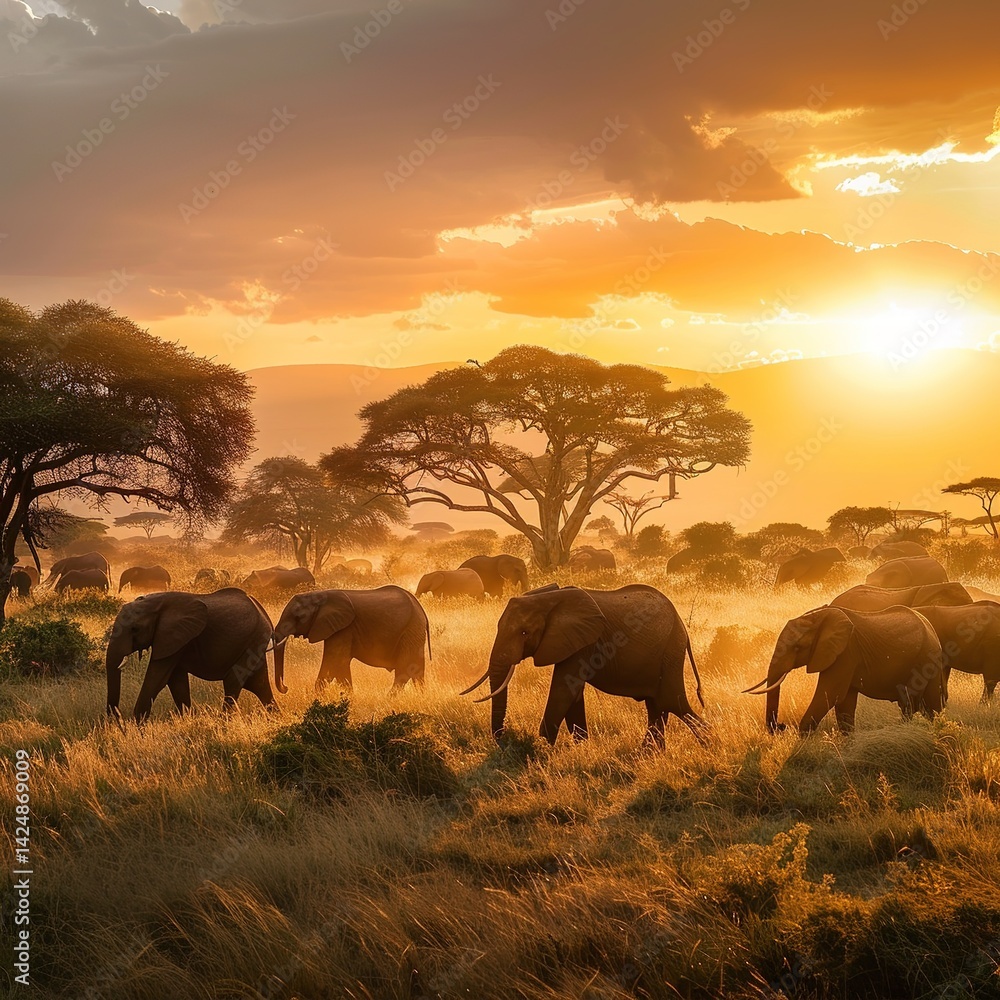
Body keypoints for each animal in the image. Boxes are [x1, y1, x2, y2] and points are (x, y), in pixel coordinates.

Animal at [105, 588, 279, 723]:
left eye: (135, 629)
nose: (116, 719)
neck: (155, 602)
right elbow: (175, 680)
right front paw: (187, 719)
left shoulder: (174, 636)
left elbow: (157, 679)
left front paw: (138, 726)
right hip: (256, 641)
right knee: (259, 684)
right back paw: (276, 717)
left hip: (254, 639)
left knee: (233, 679)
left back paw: (223, 723)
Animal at [271, 586, 430, 693]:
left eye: (298, 617)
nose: (286, 687)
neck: (319, 595)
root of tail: (421, 608)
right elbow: (339, 665)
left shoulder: (344, 629)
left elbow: (335, 662)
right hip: (414, 632)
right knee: (417, 669)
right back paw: (421, 695)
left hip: (411, 630)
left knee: (405, 669)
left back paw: (389, 698)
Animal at [462, 583, 704, 746]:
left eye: (524, 633)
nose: (504, 740)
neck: (547, 598)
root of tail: (683, 625)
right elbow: (573, 696)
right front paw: (582, 747)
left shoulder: (583, 643)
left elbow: (564, 690)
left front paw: (543, 749)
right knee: (657, 706)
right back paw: (649, 755)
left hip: (670, 650)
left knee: (671, 702)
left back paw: (707, 745)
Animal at [745, 606, 945, 734]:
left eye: (797, 648)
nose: (782, 725)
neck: (817, 617)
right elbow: (844, 703)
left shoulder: (845, 653)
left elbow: (829, 694)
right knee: (926, 705)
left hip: (926, 657)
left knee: (916, 703)